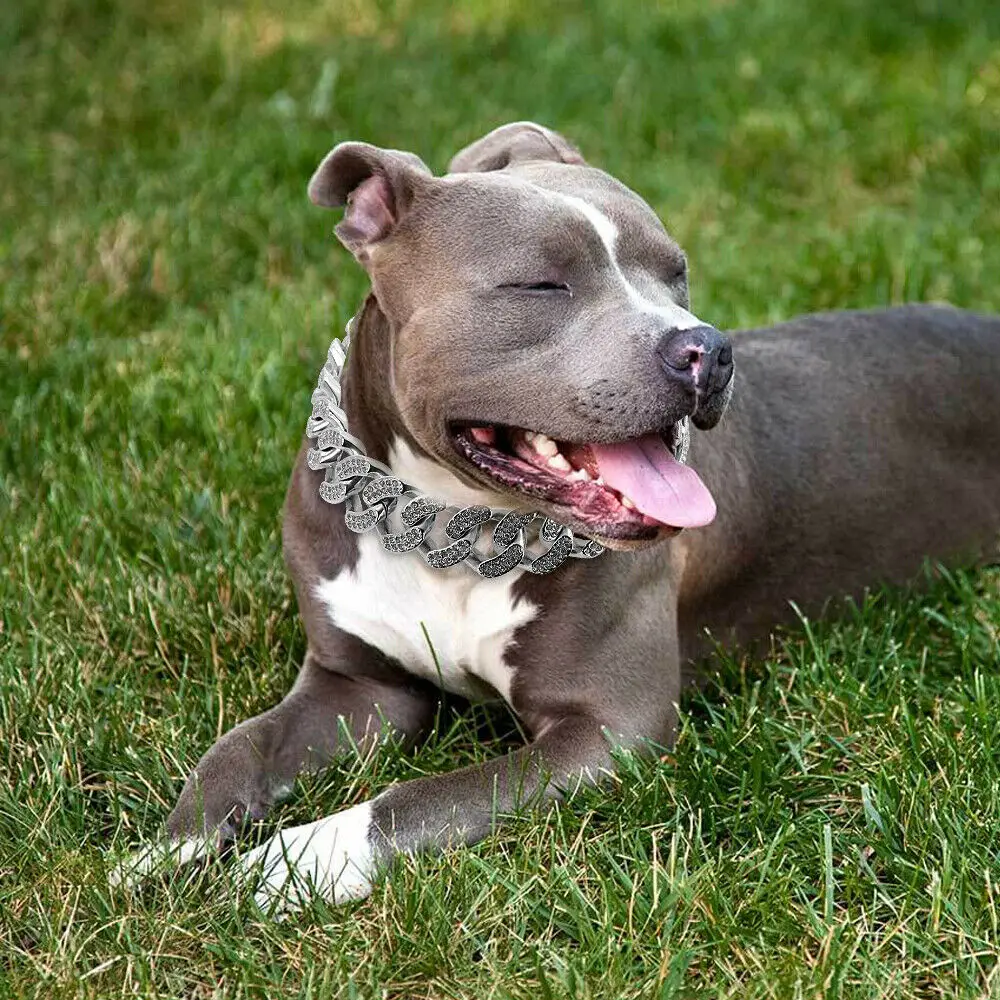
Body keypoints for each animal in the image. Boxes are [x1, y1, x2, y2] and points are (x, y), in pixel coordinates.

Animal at [127, 121, 1000, 912]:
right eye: (541, 286)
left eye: (676, 275)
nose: (707, 350)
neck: (451, 529)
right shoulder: (357, 688)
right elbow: (239, 745)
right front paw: (167, 850)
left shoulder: (608, 730)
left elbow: (423, 798)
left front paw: (299, 857)